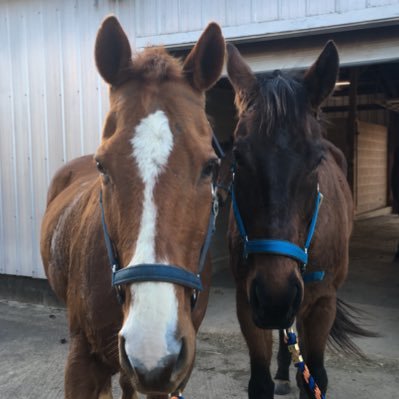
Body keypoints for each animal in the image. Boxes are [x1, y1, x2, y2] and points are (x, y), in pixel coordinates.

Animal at [223, 42, 370, 398]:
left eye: (316, 159)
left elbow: (315, 376)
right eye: (238, 156)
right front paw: (275, 373)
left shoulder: (321, 304)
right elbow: (259, 381)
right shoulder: (248, 301)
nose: (275, 297)